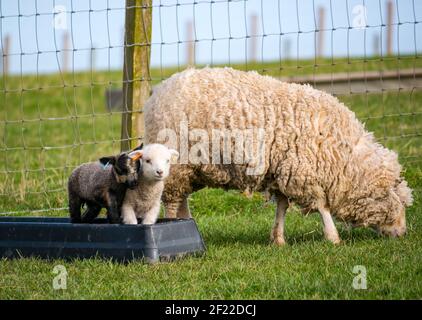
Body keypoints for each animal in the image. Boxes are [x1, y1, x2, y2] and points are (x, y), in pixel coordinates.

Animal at [143, 66, 414, 244]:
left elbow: (282, 207)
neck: (346, 159)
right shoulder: (307, 173)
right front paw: (333, 237)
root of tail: (159, 91)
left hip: (191, 168)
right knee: (172, 200)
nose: (403, 234)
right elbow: (322, 206)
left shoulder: (285, 171)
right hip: (177, 163)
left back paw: (187, 221)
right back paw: (173, 225)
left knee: (182, 197)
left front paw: (278, 239)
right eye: (400, 204)